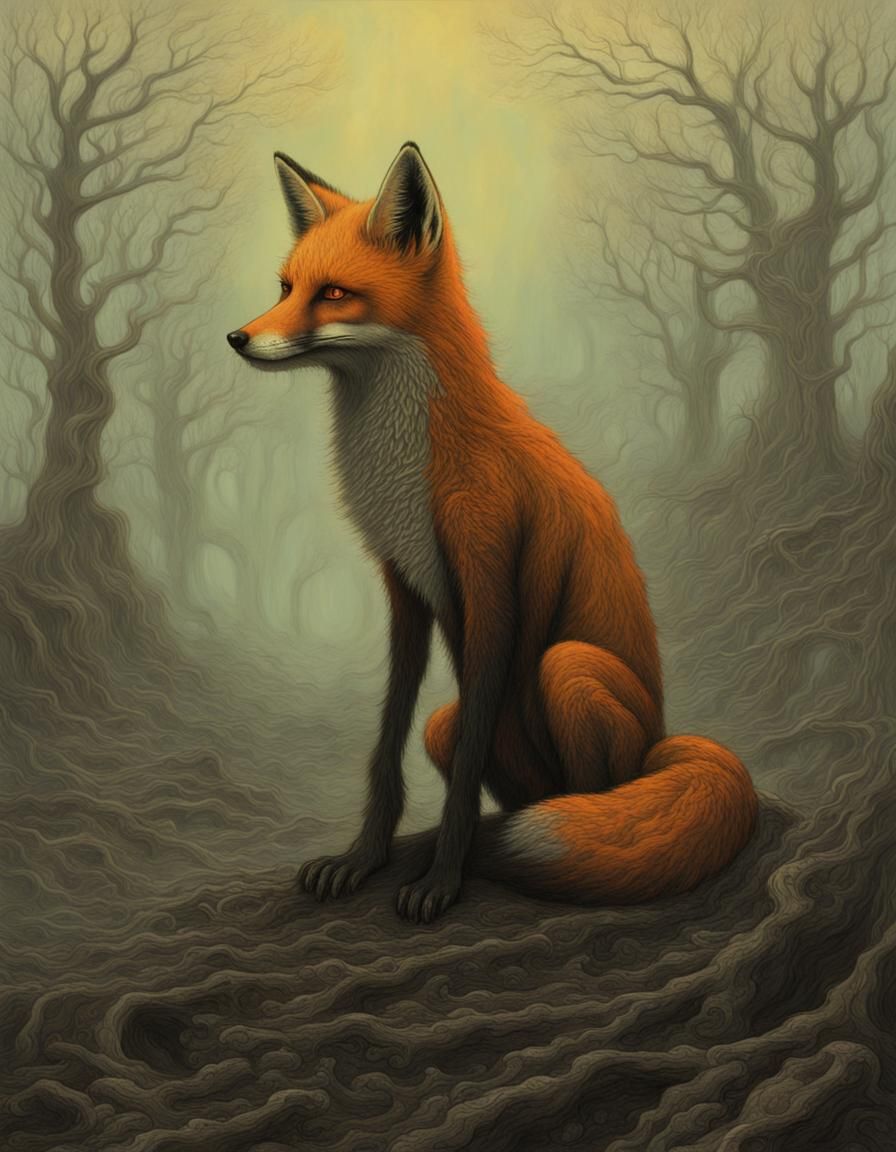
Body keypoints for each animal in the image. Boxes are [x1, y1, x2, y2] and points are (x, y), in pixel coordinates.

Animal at [226, 142, 758, 924]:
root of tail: (665, 743)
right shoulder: (405, 589)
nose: (237, 338)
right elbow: (386, 745)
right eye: (286, 286)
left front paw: (443, 881)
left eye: (334, 294)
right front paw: (364, 858)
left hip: (568, 667)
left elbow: (464, 776)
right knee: (507, 787)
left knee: (592, 795)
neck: (408, 468)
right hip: (451, 726)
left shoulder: (489, 584)